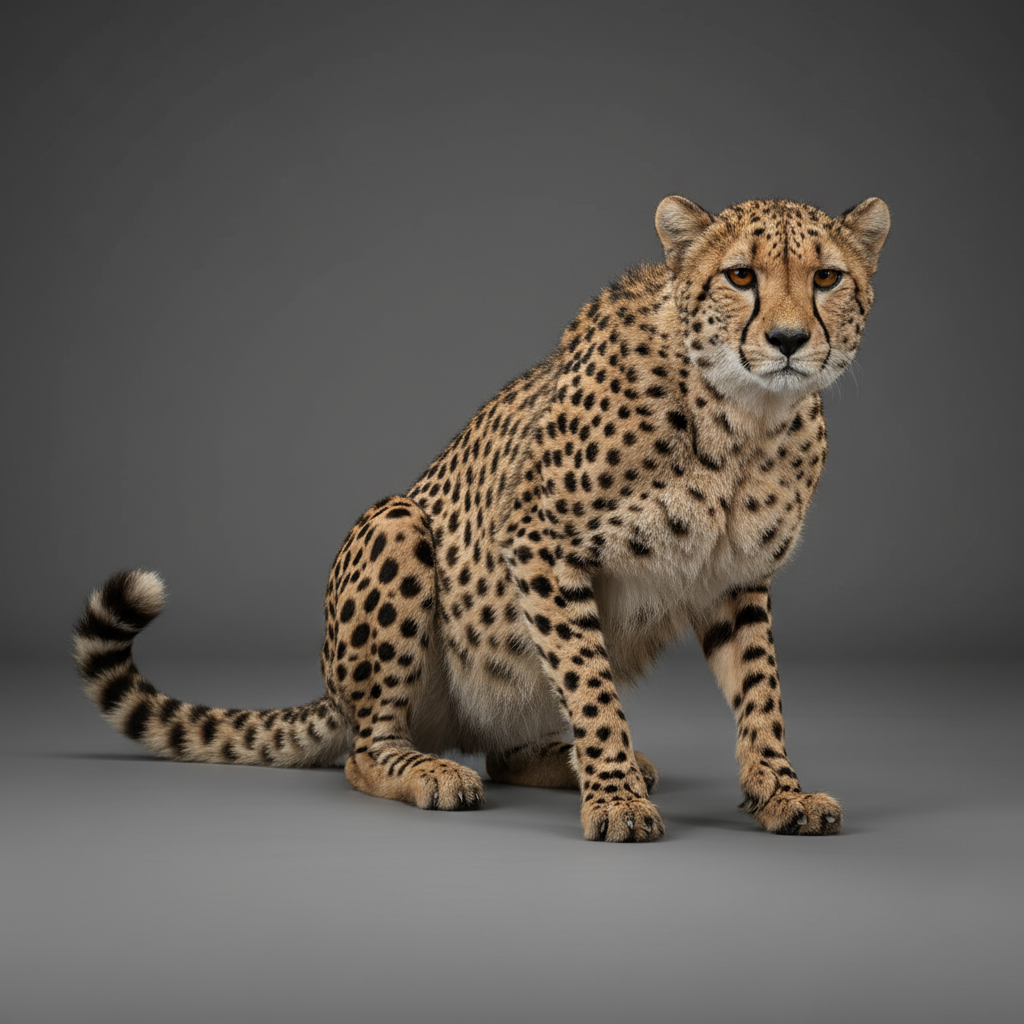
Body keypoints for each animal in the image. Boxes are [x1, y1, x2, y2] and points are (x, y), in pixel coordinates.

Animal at [74, 193, 889, 842]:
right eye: (740, 276)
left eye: (826, 278)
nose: (788, 341)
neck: (745, 418)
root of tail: (332, 695)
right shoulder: (537, 542)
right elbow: (590, 686)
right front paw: (616, 800)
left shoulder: (735, 578)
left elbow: (760, 692)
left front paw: (778, 791)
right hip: (396, 525)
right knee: (364, 750)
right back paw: (432, 771)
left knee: (502, 749)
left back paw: (580, 761)